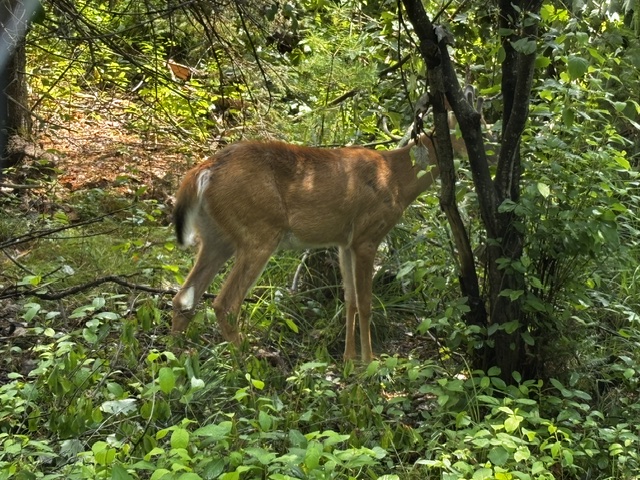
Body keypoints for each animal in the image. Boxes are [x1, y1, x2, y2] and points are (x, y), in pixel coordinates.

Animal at [171, 128, 467, 362]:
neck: (397, 178)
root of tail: (204, 170)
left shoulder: (344, 242)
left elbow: (350, 300)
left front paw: (349, 360)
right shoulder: (367, 236)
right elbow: (366, 302)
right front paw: (370, 363)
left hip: (216, 236)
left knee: (184, 298)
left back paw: (175, 359)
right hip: (259, 231)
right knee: (225, 303)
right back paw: (250, 360)